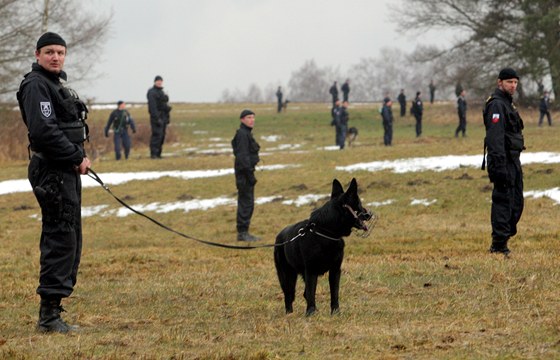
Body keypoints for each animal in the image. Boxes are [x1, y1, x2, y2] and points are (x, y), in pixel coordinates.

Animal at [274, 179, 374, 316]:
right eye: (358, 203)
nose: (369, 214)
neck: (326, 232)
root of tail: (279, 237)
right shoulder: (311, 272)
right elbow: (311, 293)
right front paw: (310, 313)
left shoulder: (335, 271)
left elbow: (334, 293)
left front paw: (335, 312)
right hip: (287, 276)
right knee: (289, 295)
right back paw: (290, 314)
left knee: (303, 293)